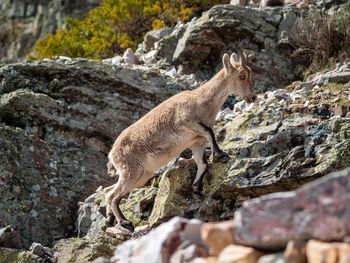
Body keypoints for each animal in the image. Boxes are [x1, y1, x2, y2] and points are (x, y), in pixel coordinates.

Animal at [103, 51, 254, 231]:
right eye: (242, 75)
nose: (253, 97)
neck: (201, 102)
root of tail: (112, 154)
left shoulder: (197, 141)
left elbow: (203, 164)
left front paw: (196, 190)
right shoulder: (186, 123)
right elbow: (210, 132)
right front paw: (220, 155)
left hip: (141, 175)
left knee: (108, 192)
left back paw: (109, 220)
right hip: (132, 170)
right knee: (113, 195)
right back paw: (124, 222)